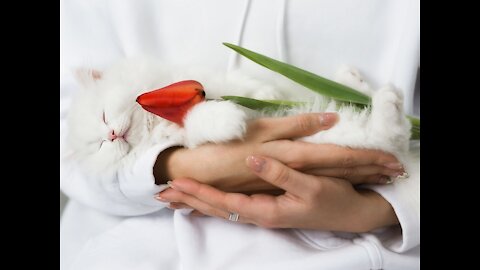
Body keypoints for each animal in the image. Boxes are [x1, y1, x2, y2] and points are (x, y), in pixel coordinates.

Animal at [63, 58, 410, 181]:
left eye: (104, 115)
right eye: (99, 147)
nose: (111, 135)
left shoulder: (213, 80)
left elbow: (245, 86)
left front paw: (264, 93)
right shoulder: (183, 138)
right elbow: (200, 119)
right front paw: (230, 119)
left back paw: (354, 81)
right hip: (345, 135)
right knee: (389, 134)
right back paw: (388, 102)